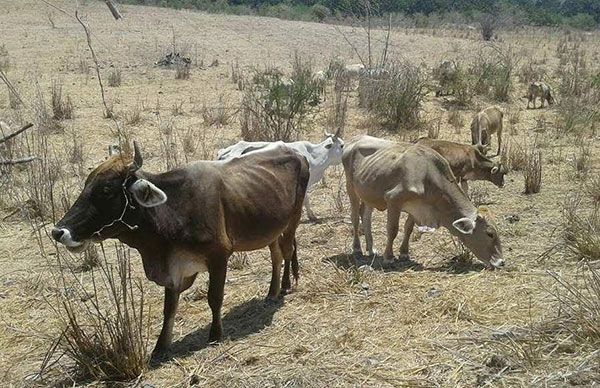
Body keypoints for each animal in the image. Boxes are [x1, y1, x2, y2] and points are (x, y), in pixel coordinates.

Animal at [340, 135, 504, 268]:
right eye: (490, 234)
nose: (501, 262)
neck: (428, 175)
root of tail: (354, 140)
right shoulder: (393, 199)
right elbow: (392, 230)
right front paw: (389, 257)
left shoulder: (418, 207)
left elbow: (408, 228)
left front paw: (404, 253)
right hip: (351, 188)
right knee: (355, 217)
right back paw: (357, 248)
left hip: (369, 192)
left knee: (365, 215)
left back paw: (371, 248)